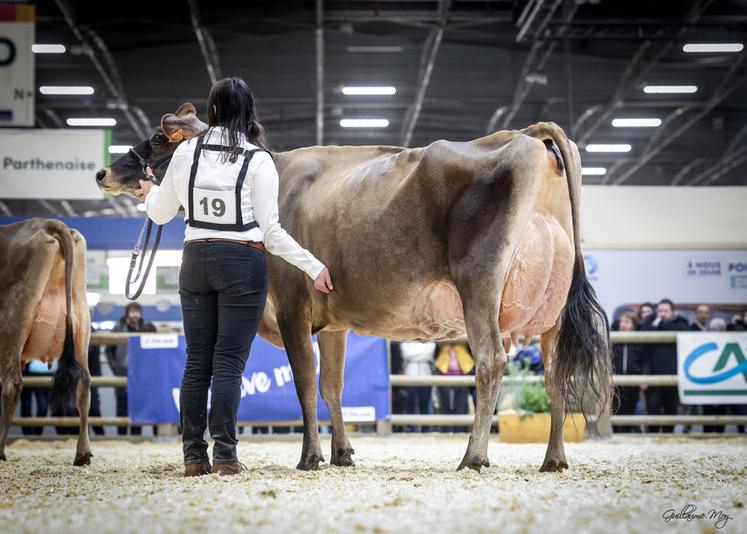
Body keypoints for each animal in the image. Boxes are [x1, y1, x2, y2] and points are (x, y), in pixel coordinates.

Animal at [0, 220, 93, 466]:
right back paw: (82, 453)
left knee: (12, 383)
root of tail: (43, 223)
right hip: (81, 320)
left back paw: (0, 451)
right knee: (85, 384)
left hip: (14, 315)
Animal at [98, 103, 612, 474]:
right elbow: (333, 386)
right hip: (552, 312)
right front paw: (342, 454)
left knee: (491, 362)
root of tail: (525, 135)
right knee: (556, 373)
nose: (103, 173)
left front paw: (310, 458)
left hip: (479, 283)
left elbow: (305, 384)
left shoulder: (292, 307)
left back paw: (473, 457)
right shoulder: (333, 324)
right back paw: (553, 459)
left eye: (160, 138)